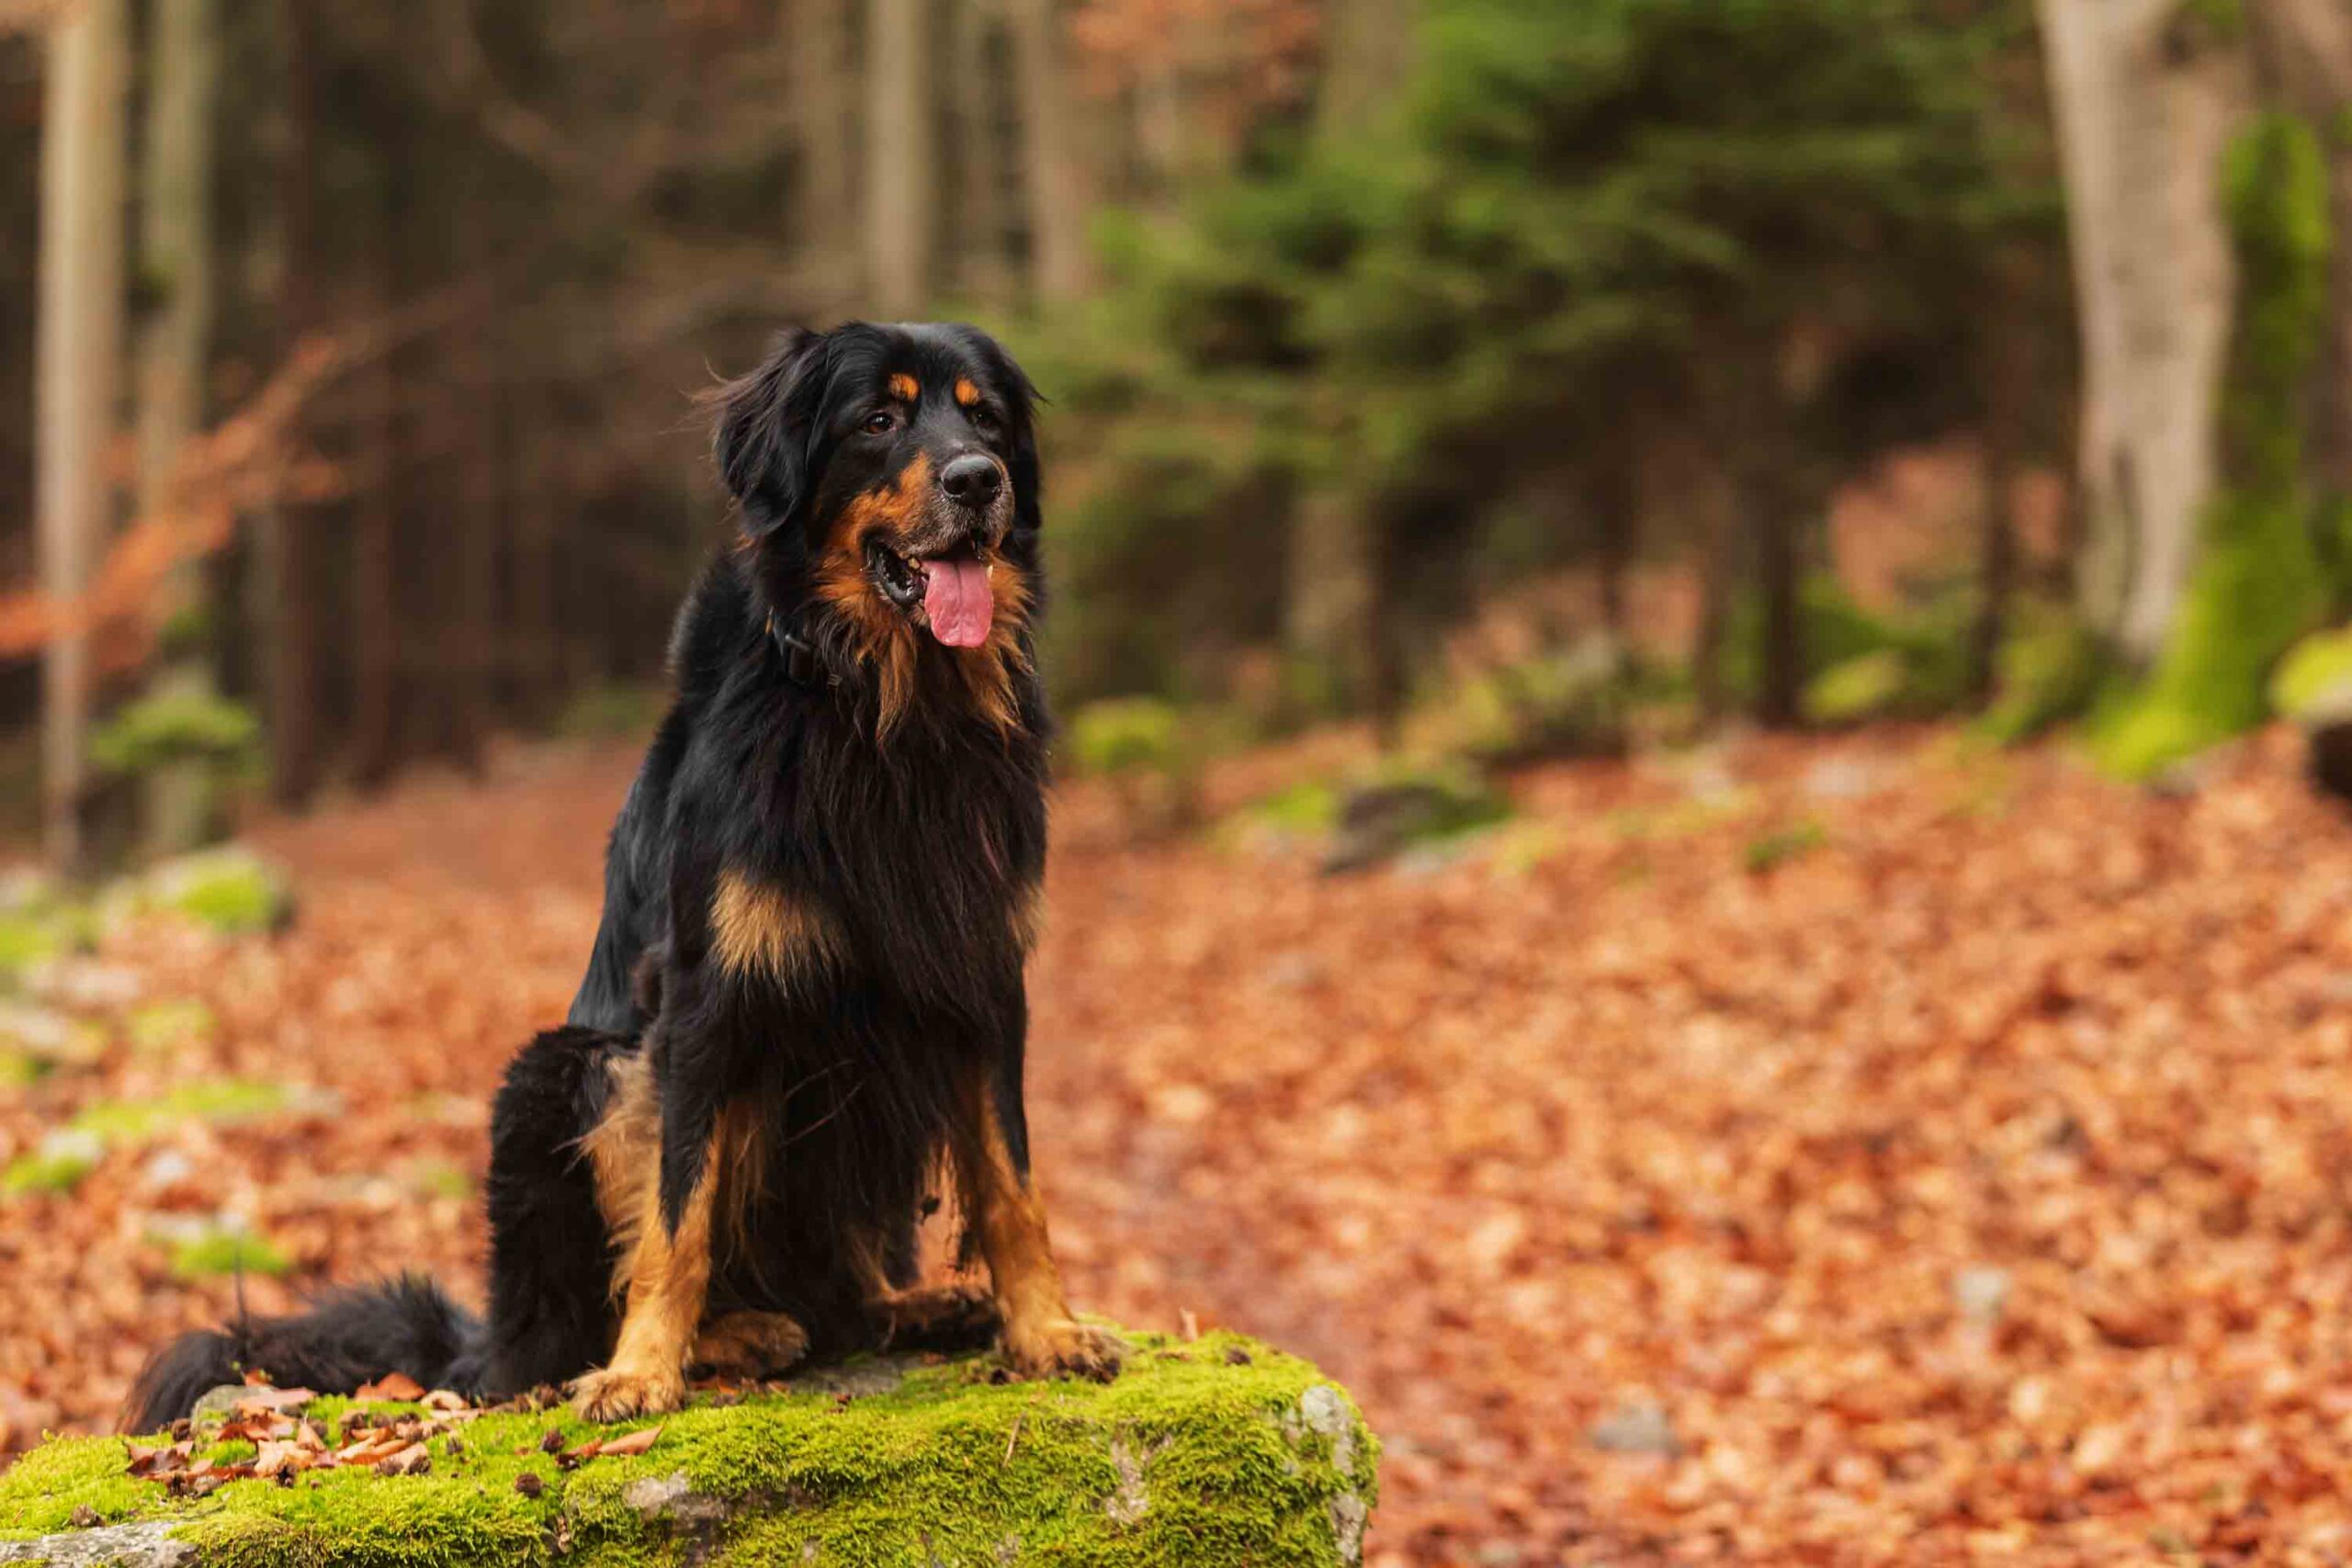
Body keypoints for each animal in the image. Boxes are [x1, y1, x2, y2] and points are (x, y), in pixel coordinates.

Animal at [129, 324, 1119, 1429]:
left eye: (984, 419)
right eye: (879, 419)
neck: (884, 710)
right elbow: (677, 1214)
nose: (979, 479)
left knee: (844, 1298)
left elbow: (1013, 1183)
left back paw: (912, 1305)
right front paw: (645, 1368)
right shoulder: (705, 1002)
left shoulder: (982, 981)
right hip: (564, 1072)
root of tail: (488, 1338)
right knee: (573, 1325)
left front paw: (1047, 1328)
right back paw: (731, 1335)